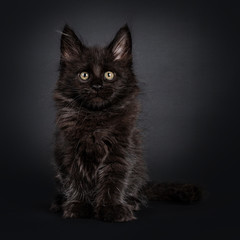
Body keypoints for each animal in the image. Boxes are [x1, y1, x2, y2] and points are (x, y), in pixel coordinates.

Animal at [51, 23, 202, 221]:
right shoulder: (70, 151)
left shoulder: (121, 150)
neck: (96, 119)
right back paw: (59, 202)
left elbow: (114, 180)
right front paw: (78, 206)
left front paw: (111, 208)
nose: (97, 86)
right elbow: (76, 179)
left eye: (109, 75)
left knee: (134, 190)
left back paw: (132, 202)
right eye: (84, 75)